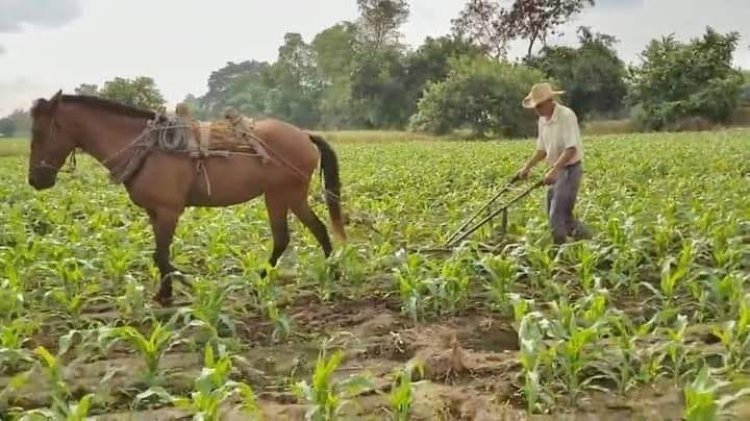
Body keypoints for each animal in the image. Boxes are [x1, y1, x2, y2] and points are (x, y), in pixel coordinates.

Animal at [26, 89, 348, 306]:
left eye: (40, 132)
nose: (35, 180)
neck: (148, 149)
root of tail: (304, 135)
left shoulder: (169, 210)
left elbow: (161, 255)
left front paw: (185, 286)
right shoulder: (154, 212)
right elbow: (159, 255)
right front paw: (166, 292)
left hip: (283, 194)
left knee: (292, 236)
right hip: (286, 196)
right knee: (310, 231)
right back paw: (323, 273)